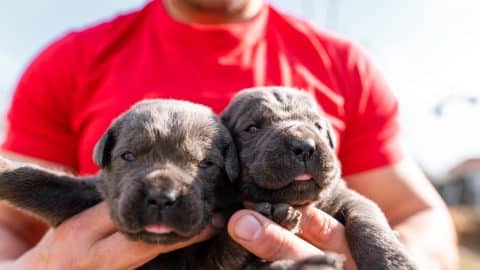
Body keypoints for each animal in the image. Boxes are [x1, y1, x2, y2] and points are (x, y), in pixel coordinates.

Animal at [0, 99, 239, 270]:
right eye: (128, 156)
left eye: (206, 163)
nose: (160, 197)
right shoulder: (86, 194)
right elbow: (43, 183)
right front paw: (4, 168)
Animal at [220, 86, 416, 270]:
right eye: (252, 128)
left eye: (318, 126)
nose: (304, 147)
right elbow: (227, 246)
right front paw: (274, 216)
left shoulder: (348, 198)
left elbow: (367, 223)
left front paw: (392, 263)